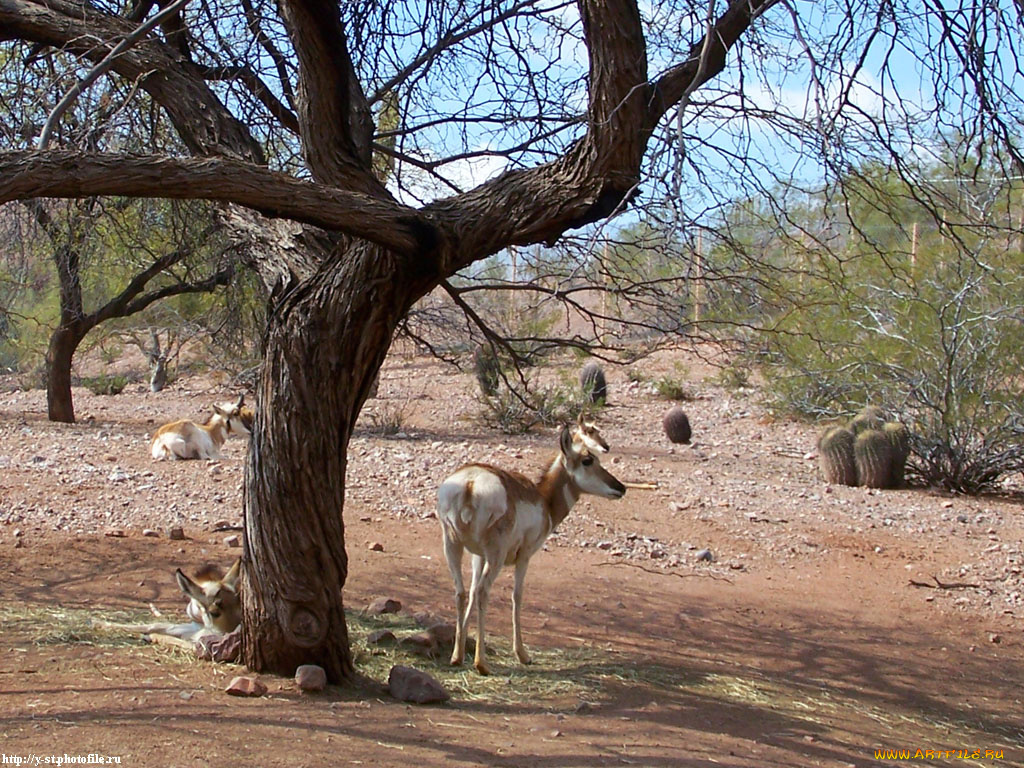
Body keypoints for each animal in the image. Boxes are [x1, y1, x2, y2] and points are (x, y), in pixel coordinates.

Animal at [99, 561, 243, 651]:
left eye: (238, 605)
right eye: (238, 601)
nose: (225, 637)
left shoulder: (198, 644)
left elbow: (174, 638)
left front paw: (149, 636)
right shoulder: (195, 629)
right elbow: (156, 625)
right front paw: (98, 623)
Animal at [438, 423, 622, 675]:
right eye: (587, 459)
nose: (621, 487)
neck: (544, 499)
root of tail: (470, 483)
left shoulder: (478, 556)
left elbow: (472, 591)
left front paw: (460, 650)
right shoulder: (524, 557)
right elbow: (517, 596)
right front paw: (523, 655)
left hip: (453, 546)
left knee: (461, 592)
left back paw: (457, 659)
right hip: (495, 556)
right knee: (484, 592)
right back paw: (482, 664)